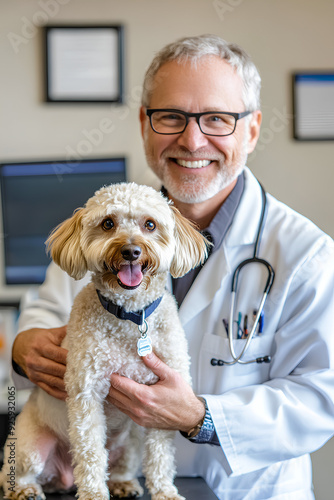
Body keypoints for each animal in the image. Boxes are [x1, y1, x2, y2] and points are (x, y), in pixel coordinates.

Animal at [0, 183, 209, 500]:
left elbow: (160, 455)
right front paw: (94, 494)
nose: (131, 251)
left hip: (131, 441)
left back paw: (122, 483)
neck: (130, 316)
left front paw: (165, 491)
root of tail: (64, 477)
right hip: (29, 447)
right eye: (108, 223)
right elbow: (91, 455)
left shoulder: (164, 403)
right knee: (17, 474)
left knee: (122, 464)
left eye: (150, 224)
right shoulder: (87, 396)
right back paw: (26, 489)